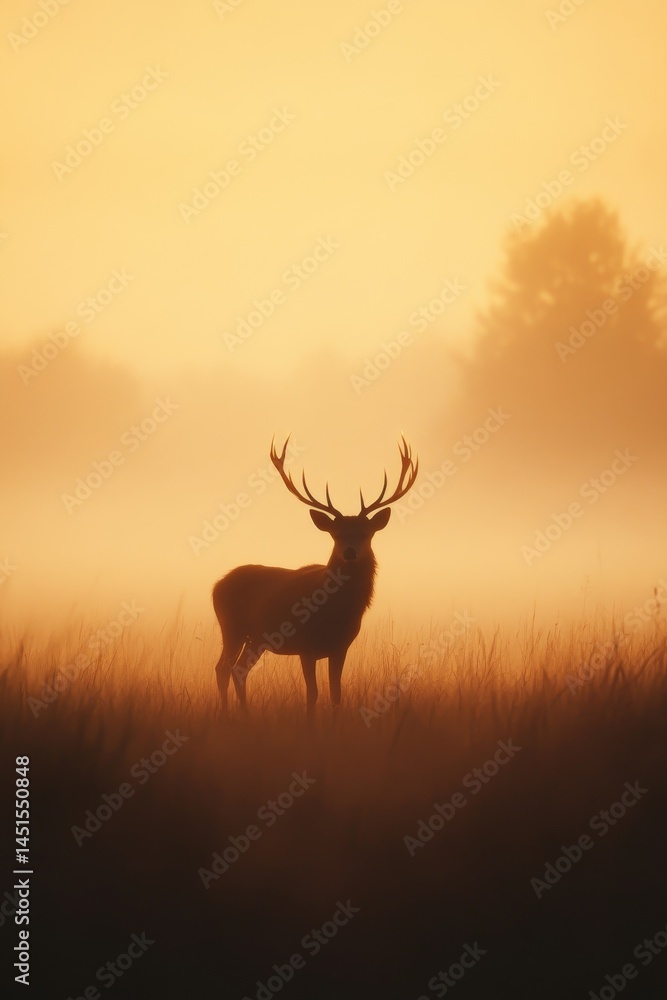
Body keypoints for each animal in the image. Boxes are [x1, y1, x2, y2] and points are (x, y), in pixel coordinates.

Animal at [212, 435, 418, 718]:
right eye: (336, 534)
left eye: (366, 533)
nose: (350, 552)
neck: (334, 612)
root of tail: (216, 586)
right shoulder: (305, 646)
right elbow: (312, 695)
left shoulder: (341, 647)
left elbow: (335, 694)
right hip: (231, 628)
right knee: (223, 667)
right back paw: (226, 713)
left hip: (255, 639)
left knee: (239, 669)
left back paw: (244, 713)